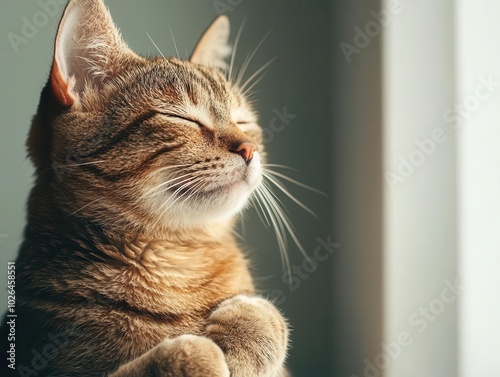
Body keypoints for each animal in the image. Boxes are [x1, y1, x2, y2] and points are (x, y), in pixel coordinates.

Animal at [1, 0, 290, 376]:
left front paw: (248, 328)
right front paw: (203, 353)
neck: (178, 255)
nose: (249, 148)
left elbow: (267, 314)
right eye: (182, 117)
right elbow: (184, 356)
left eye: (244, 122)